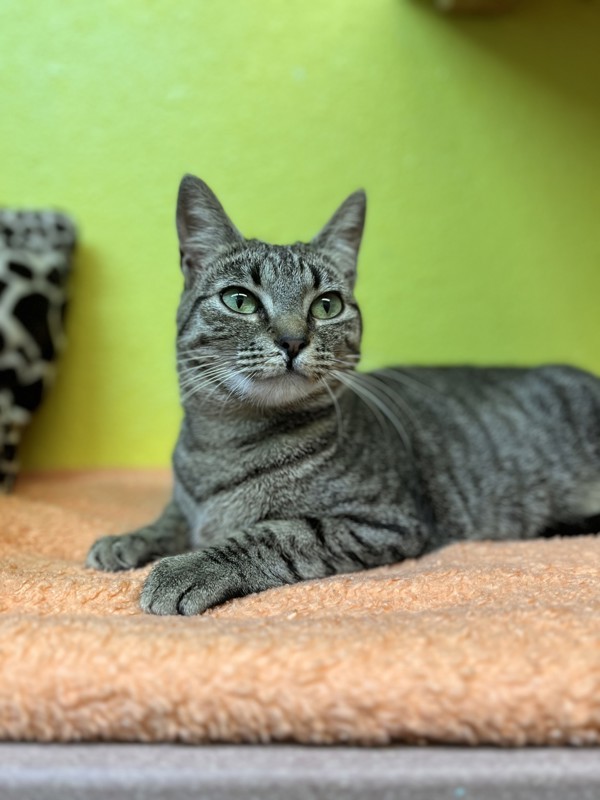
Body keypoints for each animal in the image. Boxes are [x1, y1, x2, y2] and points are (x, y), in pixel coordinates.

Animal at [84, 173, 600, 612]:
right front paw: (130, 539)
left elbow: (272, 534)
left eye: (327, 305)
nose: (292, 340)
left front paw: (188, 567)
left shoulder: (382, 519)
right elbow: (173, 518)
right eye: (240, 300)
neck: (225, 440)